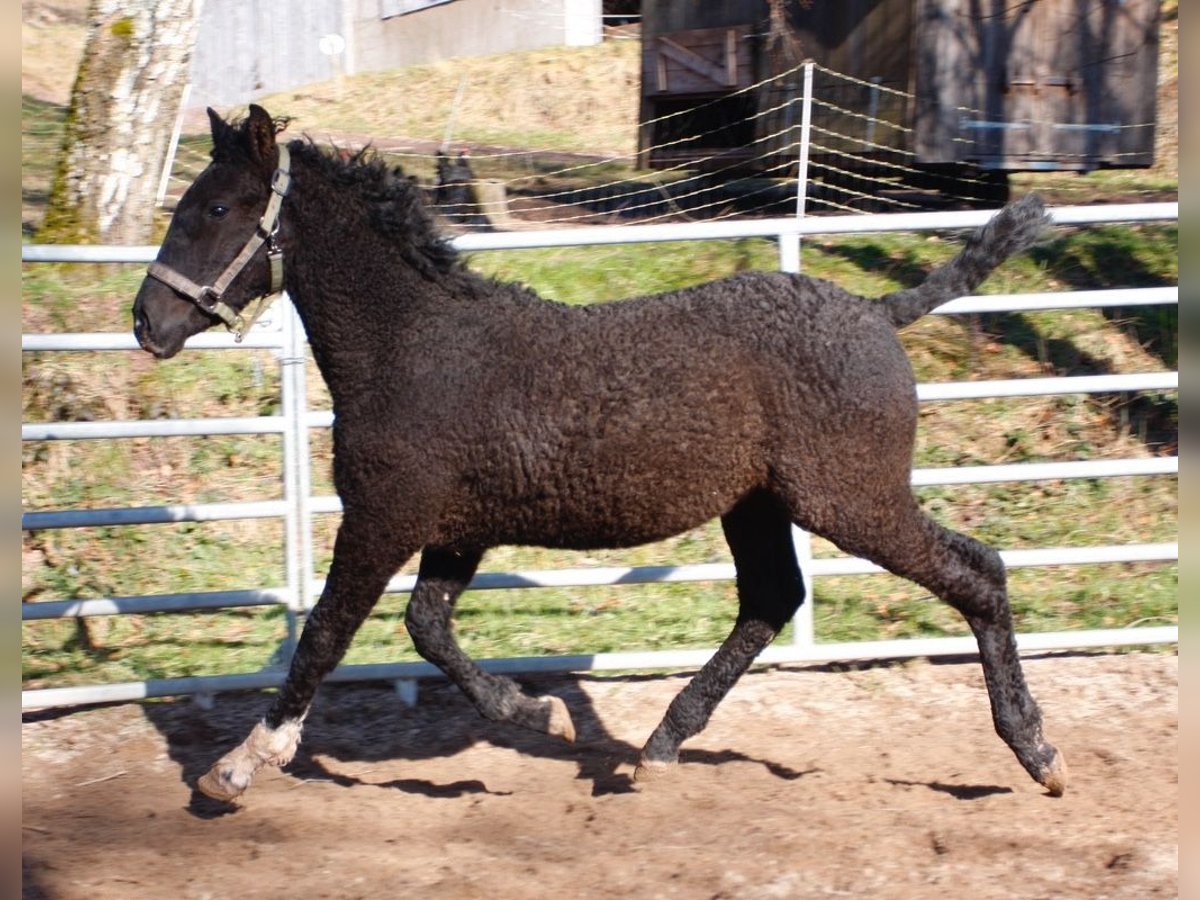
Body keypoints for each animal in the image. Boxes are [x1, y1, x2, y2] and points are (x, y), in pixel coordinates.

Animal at [133, 103, 1070, 801]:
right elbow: (427, 628)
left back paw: (1037, 752)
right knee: (773, 599)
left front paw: (238, 766)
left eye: (214, 208)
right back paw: (658, 745)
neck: (414, 346)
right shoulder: (456, 530)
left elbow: (327, 634)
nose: (147, 322)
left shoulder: (383, 519)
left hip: (851, 499)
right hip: (759, 506)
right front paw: (532, 709)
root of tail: (879, 311)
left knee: (978, 572)